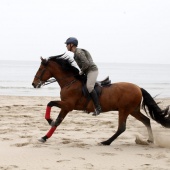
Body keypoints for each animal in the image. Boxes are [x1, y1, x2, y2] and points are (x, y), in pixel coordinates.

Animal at [32, 55, 170, 145]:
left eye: (40, 69)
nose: (34, 84)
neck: (70, 82)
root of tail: (138, 88)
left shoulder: (67, 105)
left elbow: (52, 108)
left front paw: (49, 122)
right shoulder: (66, 106)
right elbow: (56, 117)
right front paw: (45, 137)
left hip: (124, 110)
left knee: (122, 128)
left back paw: (106, 142)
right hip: (133, 110)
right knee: (146, 120)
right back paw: (150, 140)